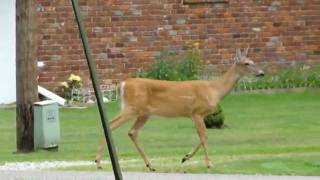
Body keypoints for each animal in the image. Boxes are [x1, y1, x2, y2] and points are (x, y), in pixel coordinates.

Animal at [94, 48, 264, 172]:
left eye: (254, 61)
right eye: (247, 63)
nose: (262, 73)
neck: (214, 90)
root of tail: (123, 84)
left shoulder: (195, 115)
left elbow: (202, 137)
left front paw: (185, 157)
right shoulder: (196, 112)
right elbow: (204, 136)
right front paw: (207, 163)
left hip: (144, 113)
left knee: (132, 132)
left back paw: (150, 165)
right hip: (132, 108)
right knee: (109, 124)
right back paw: (98, 162)